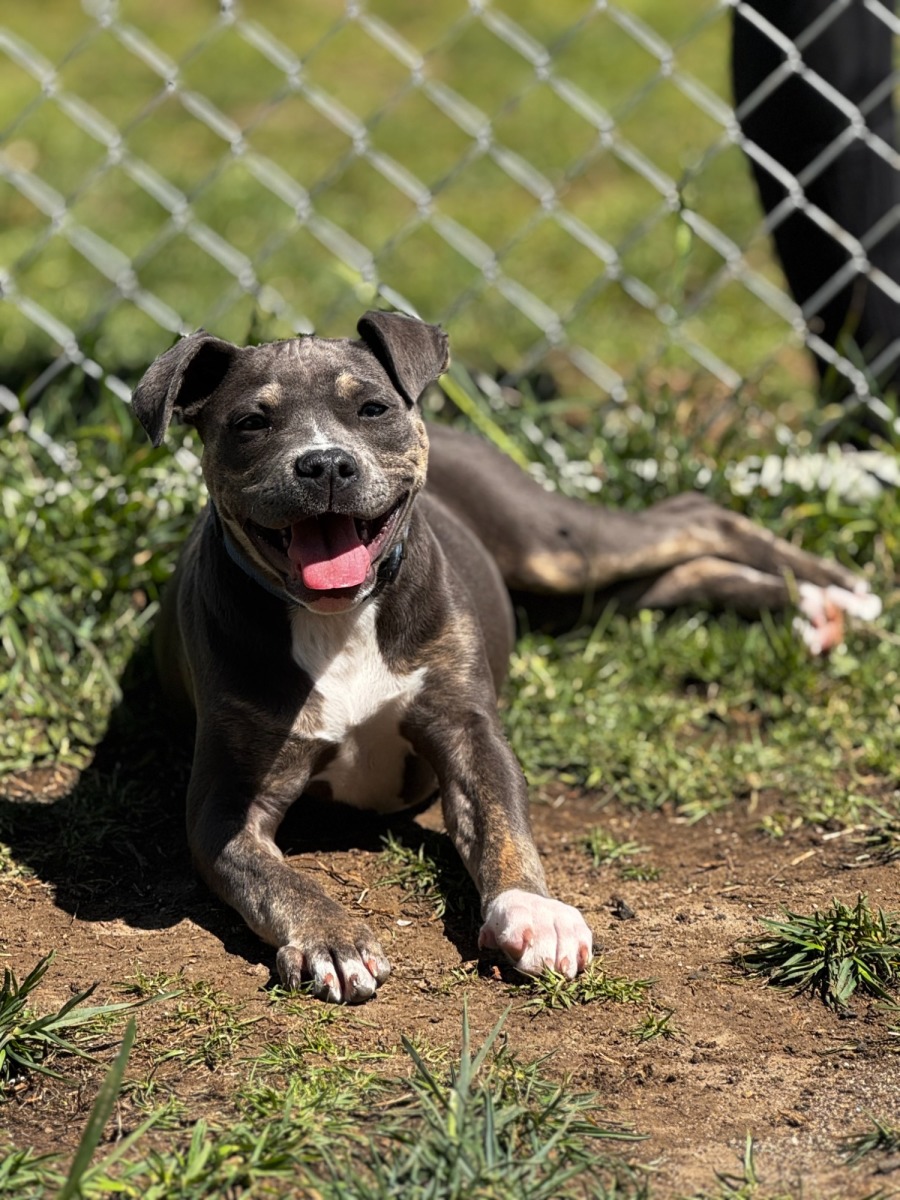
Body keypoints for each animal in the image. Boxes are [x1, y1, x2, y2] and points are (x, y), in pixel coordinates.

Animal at [133, 311, 881, 1003]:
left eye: (372, 409)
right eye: (251, 423)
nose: (325, 463)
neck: (338, 619)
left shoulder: (468, 731)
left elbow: (504, 828)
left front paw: (535, 912)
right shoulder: (225, 803)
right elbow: (276, 877)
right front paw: (331, 938)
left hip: (552, 543)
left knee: (697, 516)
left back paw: (840, 591)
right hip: (570, 593)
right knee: (675, 571)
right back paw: (813, 609)